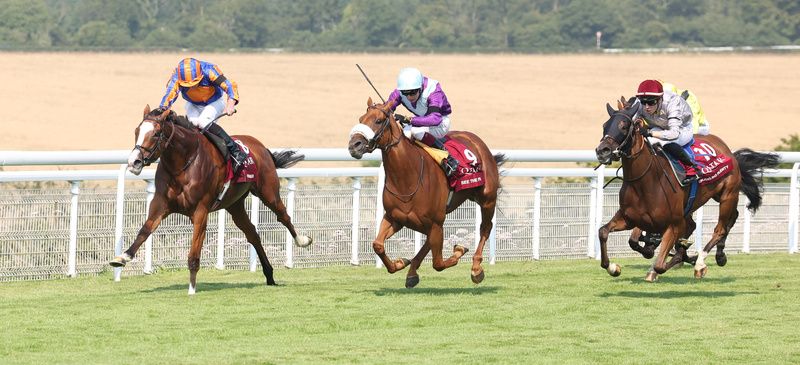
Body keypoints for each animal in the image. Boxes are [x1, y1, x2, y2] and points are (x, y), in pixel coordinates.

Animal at [109, 105, 312, 292]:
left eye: (156, 133)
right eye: (137, 131)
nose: (134, 162)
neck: (183, 164)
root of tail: (261, 147)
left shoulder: (201, 210)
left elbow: (194, 253)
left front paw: (192, 289)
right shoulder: (160, 204)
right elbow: (145, 230)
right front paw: (123, 257)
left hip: (268, 192)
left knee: (283, 216)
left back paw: (302, 241)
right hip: (235, 204)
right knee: (252, 233)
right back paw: (269, 275)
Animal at [346, 96, 506, 288]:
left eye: (378, 120)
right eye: (361, 119)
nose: (354, 145)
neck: (407, 178)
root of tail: (477, 141)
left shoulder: (435, 223)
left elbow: (438, 263)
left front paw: (459, 250)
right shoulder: (395, 218)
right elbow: (378, 244)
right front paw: (400, 263)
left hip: (487, 199)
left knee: (485, 228)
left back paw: (476, 268)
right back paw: (412, 272)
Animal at [592, 99, 776, 282]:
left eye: (624, 126)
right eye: (605, 125)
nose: (602, 151)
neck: (646, 182)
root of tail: (728, 151)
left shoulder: (674, 224)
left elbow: (660, 264)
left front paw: (670, 258)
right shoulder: (629, 218)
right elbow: (604, 232)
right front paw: (613, 267)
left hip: (727, 195)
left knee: (720, 229)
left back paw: (700, 262)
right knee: (727, 219)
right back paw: (718, 255)